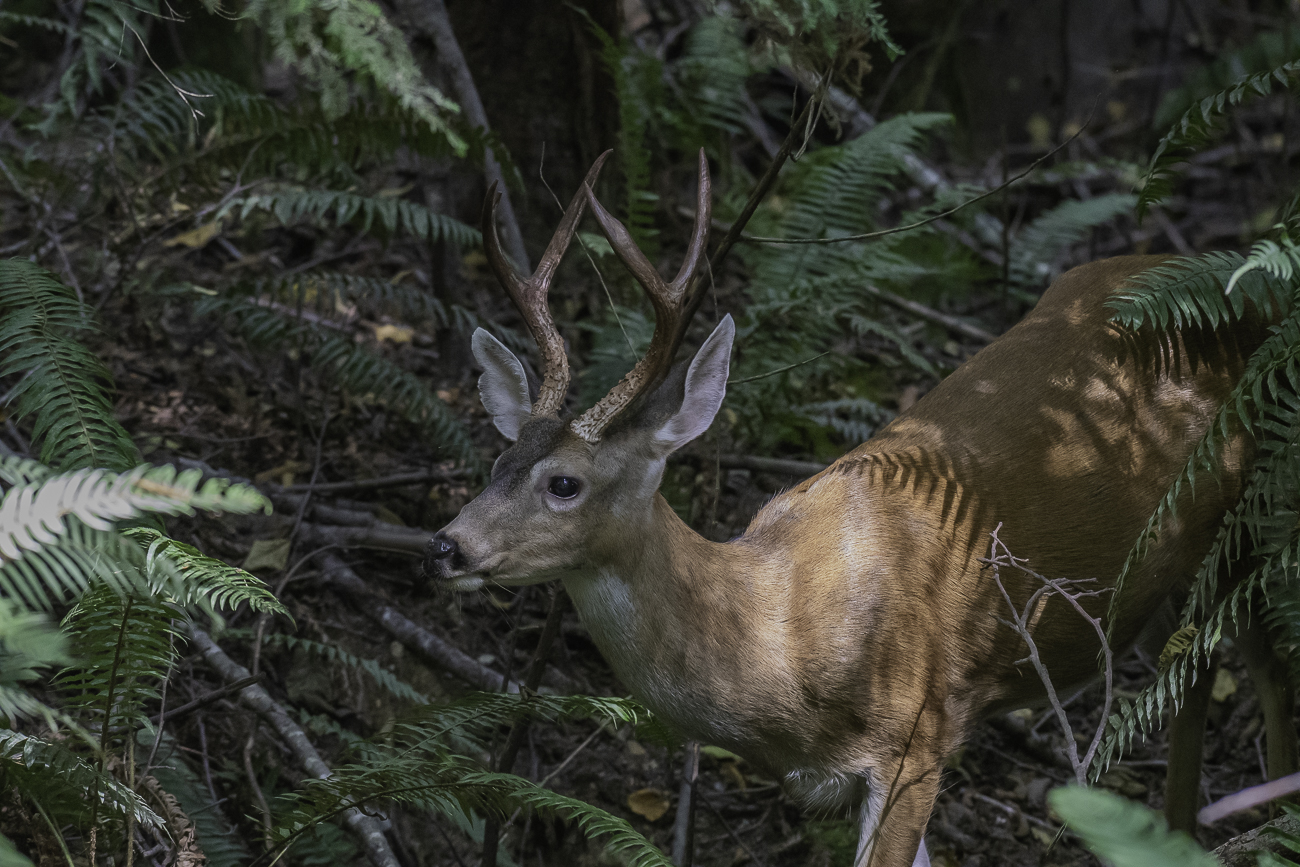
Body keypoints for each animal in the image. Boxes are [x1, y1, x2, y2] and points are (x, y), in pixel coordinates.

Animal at [421, 152, 1294, 863]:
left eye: (563, 482)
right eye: (497, 460)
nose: (447, 544)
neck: (782, 632)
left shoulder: (918, 733)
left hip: (1243, 512)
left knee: (1255, 654)